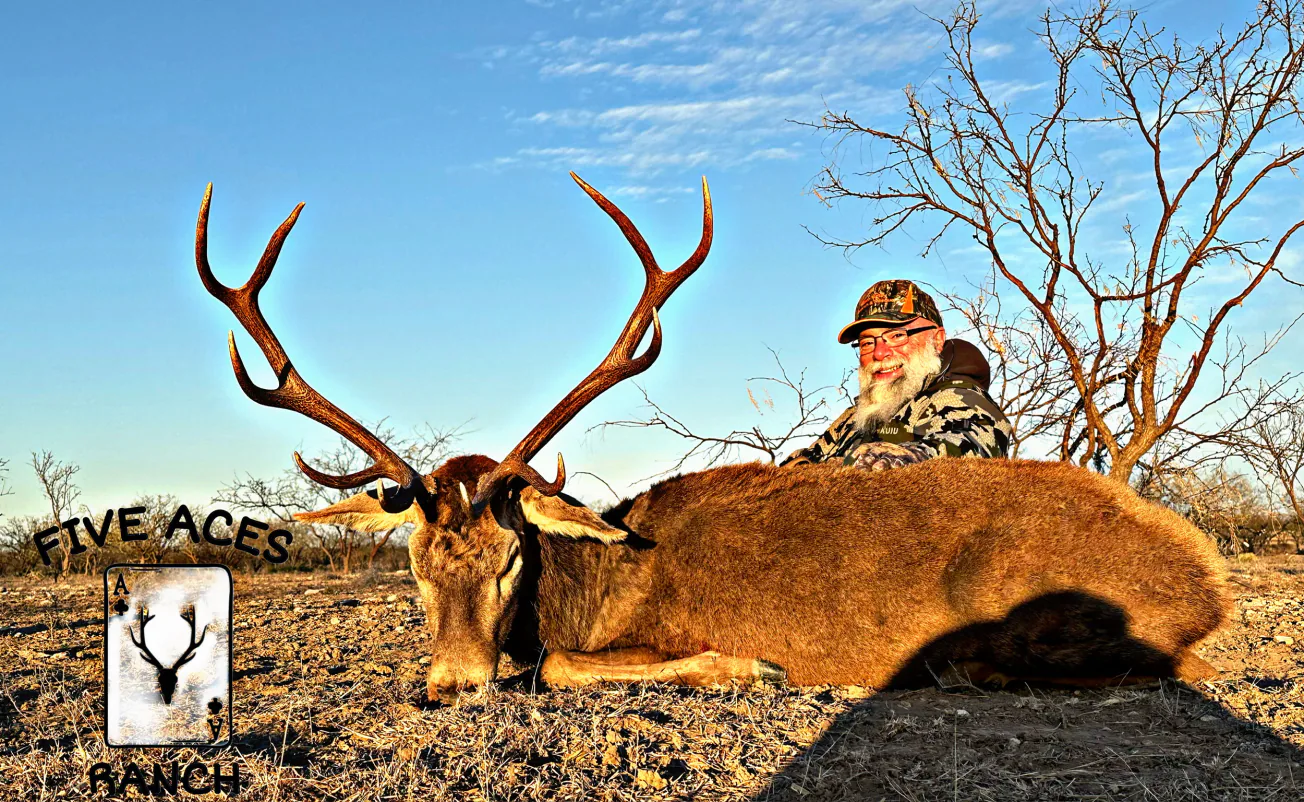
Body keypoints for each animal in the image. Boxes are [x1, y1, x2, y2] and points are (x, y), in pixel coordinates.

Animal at [193, 177, 1230, 702]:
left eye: (510, 556)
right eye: (413, 561)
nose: (450, 683)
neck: (595, 586)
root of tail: (1207, 574)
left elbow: (559, 664)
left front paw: (752, 664)